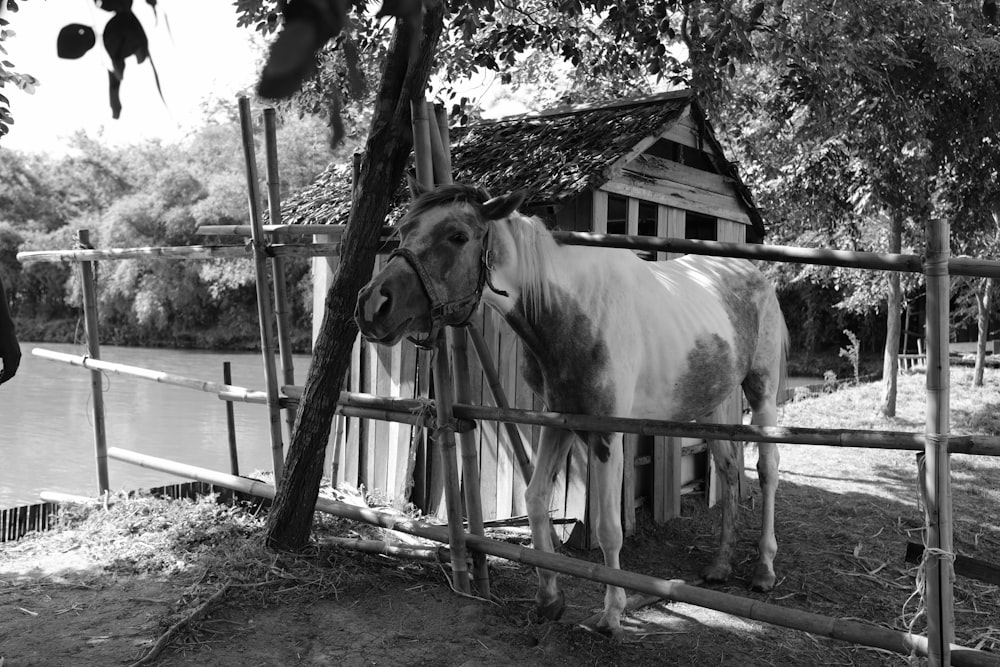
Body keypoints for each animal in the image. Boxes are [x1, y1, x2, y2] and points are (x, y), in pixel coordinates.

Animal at [356, 180, 784, 640]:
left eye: (457, 236)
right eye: (404, 229)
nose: (372, 305)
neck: (575, 312)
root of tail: (754, 275)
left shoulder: (605, 434)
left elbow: (609, 529)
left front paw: (612, 615)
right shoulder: (556, 420)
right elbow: (536, 498)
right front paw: (549, 599)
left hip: (762, 394)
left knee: (767, 470)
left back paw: (764, 569)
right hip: (711, 405)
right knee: (729, 469)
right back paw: (720, 565)